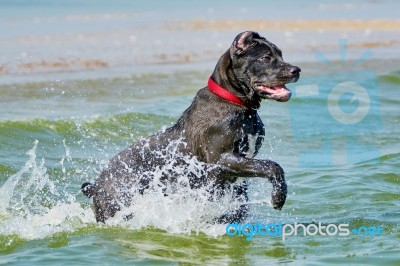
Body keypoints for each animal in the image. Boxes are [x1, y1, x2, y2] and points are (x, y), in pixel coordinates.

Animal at [82, 30, 300, 222]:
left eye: (280, 54)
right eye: (266, 57)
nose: (296, 70)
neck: (235, 102)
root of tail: (96, 185)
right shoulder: (222, 159)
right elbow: (272, 166)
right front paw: (278, 198)